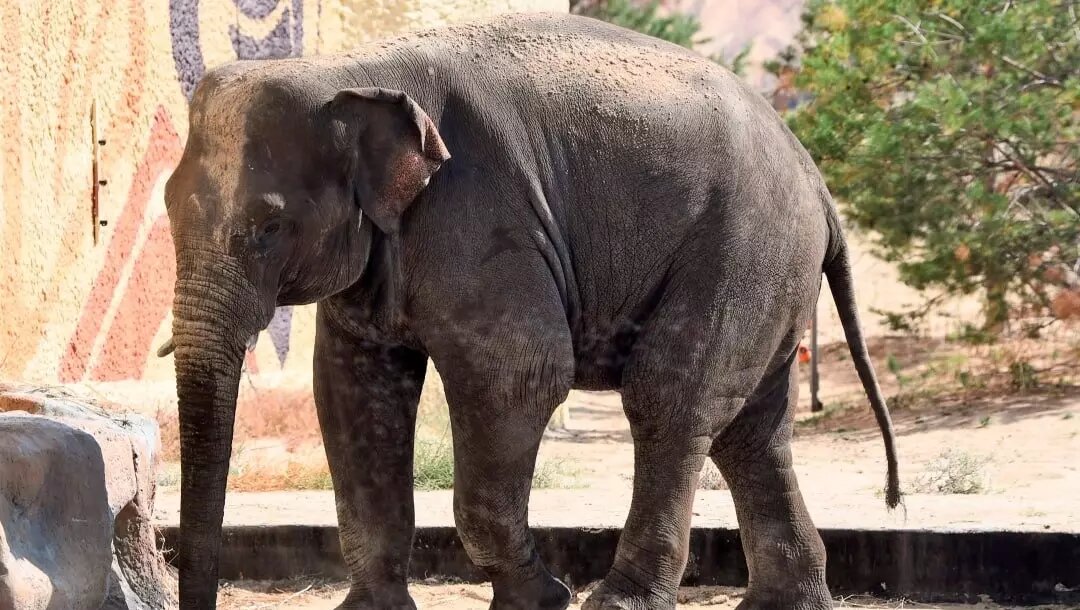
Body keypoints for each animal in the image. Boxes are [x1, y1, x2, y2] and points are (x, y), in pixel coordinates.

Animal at [162, 11, 902, 608]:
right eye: (165, 205)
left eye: (267, 226)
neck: (350, 69)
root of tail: (816, 180)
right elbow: (353, 392)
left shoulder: (479, 217)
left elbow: (520, 375)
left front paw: (541, 599)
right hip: (772, 271)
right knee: (751, 430)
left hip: (743, 247)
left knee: (671, 399)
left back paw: (618, 602)